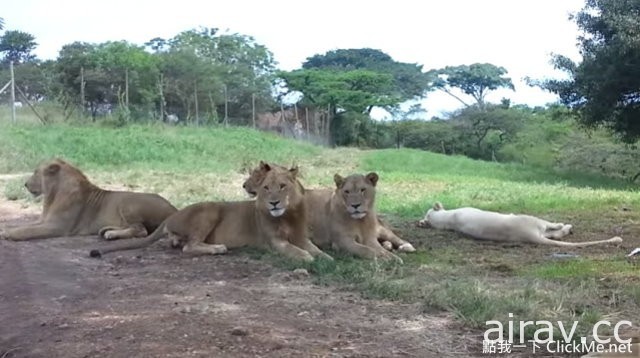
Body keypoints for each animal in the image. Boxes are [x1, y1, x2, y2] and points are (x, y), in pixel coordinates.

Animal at [0, 159, 178, 241]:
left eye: (36, 172)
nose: (25, 184)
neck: (52, 195)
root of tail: (174, 209)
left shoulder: (57, 227)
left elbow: (27, 230)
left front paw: (9, 233)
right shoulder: (44, 221)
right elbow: (26, 225)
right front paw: (5, 230)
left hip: (128, 203)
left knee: (141, 230)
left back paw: (111, 234)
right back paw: (107, 230)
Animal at [91, 164, 330, 262]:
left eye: (282, 186)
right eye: (266, 188)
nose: (273, 203)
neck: (288, 214)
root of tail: (172, 216)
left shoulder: (302, 238)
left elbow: (318, 251)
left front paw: (327, 258)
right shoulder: (275, 242)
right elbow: (296, 251)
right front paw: (307, 258)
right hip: (210, 210)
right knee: (189, 246)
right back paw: (217, 248)